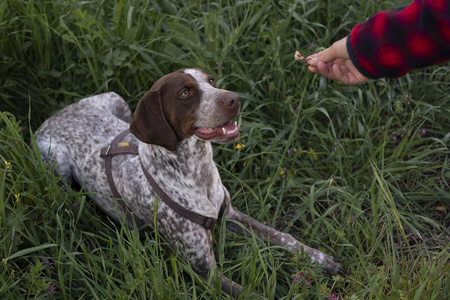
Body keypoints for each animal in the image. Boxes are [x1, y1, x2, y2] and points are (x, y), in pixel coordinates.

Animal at [37, 68, 342, 300]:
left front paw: (318, 258)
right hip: (55, 162)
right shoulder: (204, 271)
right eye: (184, 93)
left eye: (211, 81)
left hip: (117, 101)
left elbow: (284, 237)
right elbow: (251, 295)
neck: (198, 173)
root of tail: (54, 116)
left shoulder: (230, 214)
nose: (235, 98)